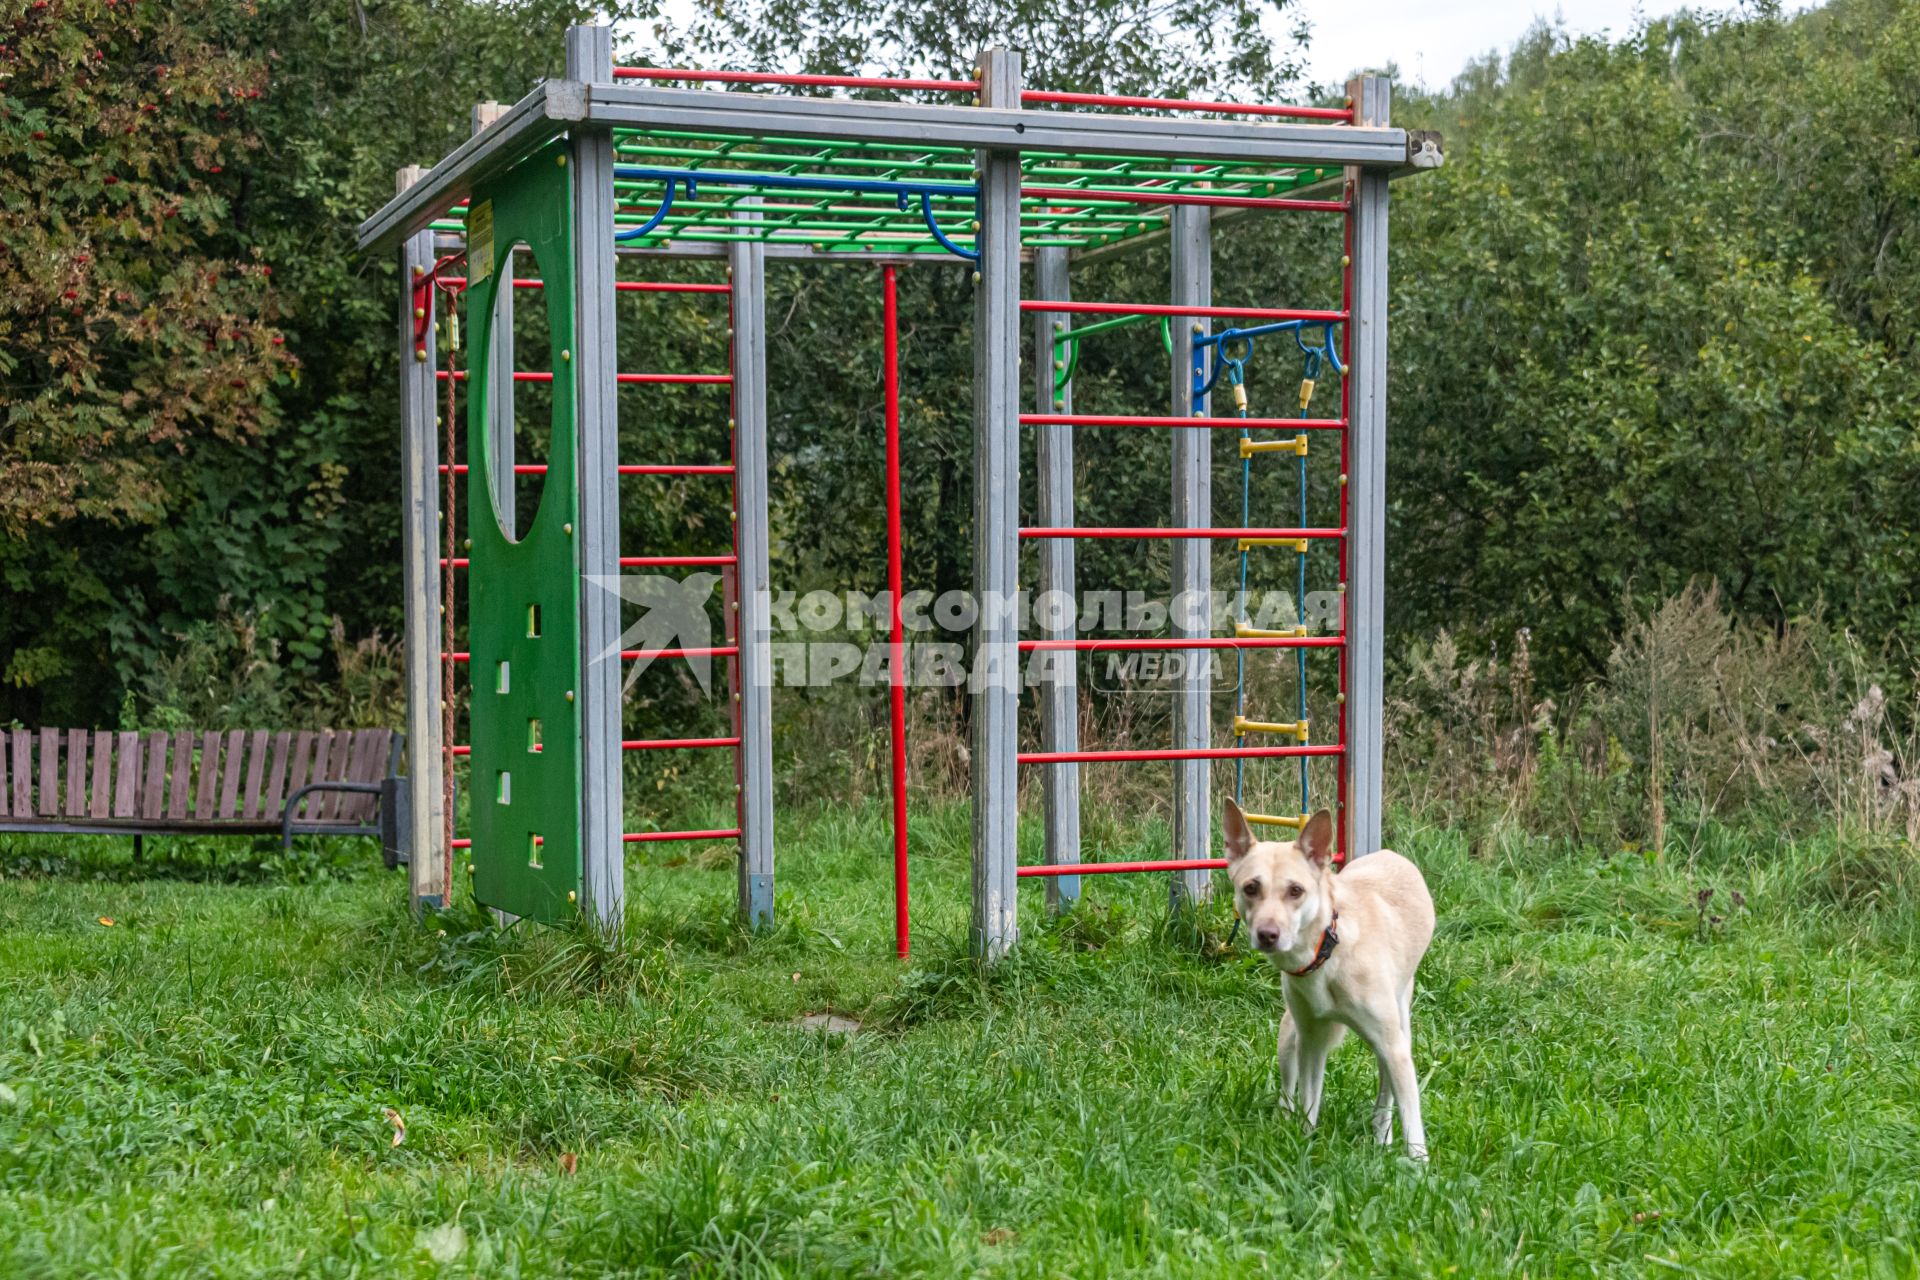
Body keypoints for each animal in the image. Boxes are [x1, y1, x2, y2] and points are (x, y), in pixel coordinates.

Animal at [1221, 805, 1436, 1159]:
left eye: (1295, 890)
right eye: (1251, 888)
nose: (1267, 935)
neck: (1327, 951)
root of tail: (1393, 855)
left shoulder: (1394, 1048)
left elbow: (1411, 1119)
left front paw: (1419, 1165)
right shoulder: (1312, 1040)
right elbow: (1309, 1100)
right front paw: (1304, 1144)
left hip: (1399, 1026)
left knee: (1385, 1090)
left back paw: (1382, 1137)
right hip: (1289, 1035)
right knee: (1288, 1089)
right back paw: (1283, 1120)